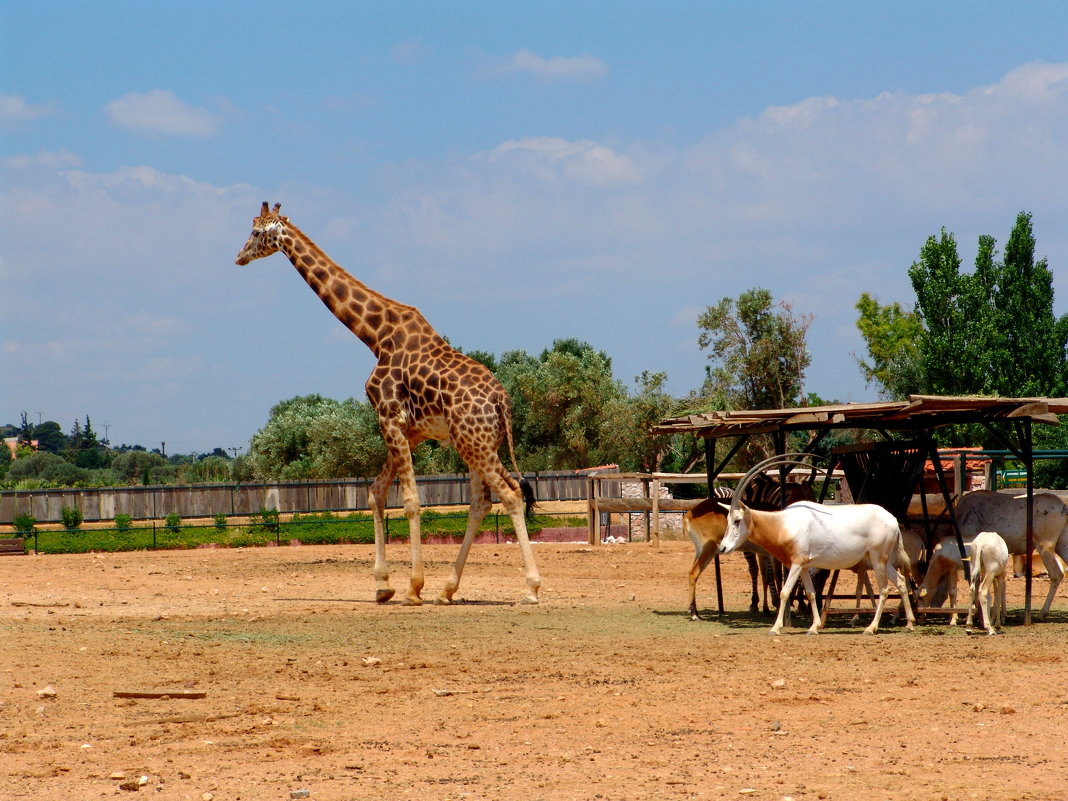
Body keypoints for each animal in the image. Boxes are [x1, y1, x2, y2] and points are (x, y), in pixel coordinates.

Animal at [239, 203, 546, 606]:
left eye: (257, 232)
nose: (239, 256)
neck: (375, 336)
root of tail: (502, 399)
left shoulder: (388, 418)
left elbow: (411, 500)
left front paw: (413, 587)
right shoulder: (410, 430)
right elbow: (375, 492)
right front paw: (383, 584)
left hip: (474, 443)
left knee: (510, 494)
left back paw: (530, 588)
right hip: (477, 442)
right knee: (482, 502)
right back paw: (447, 590)